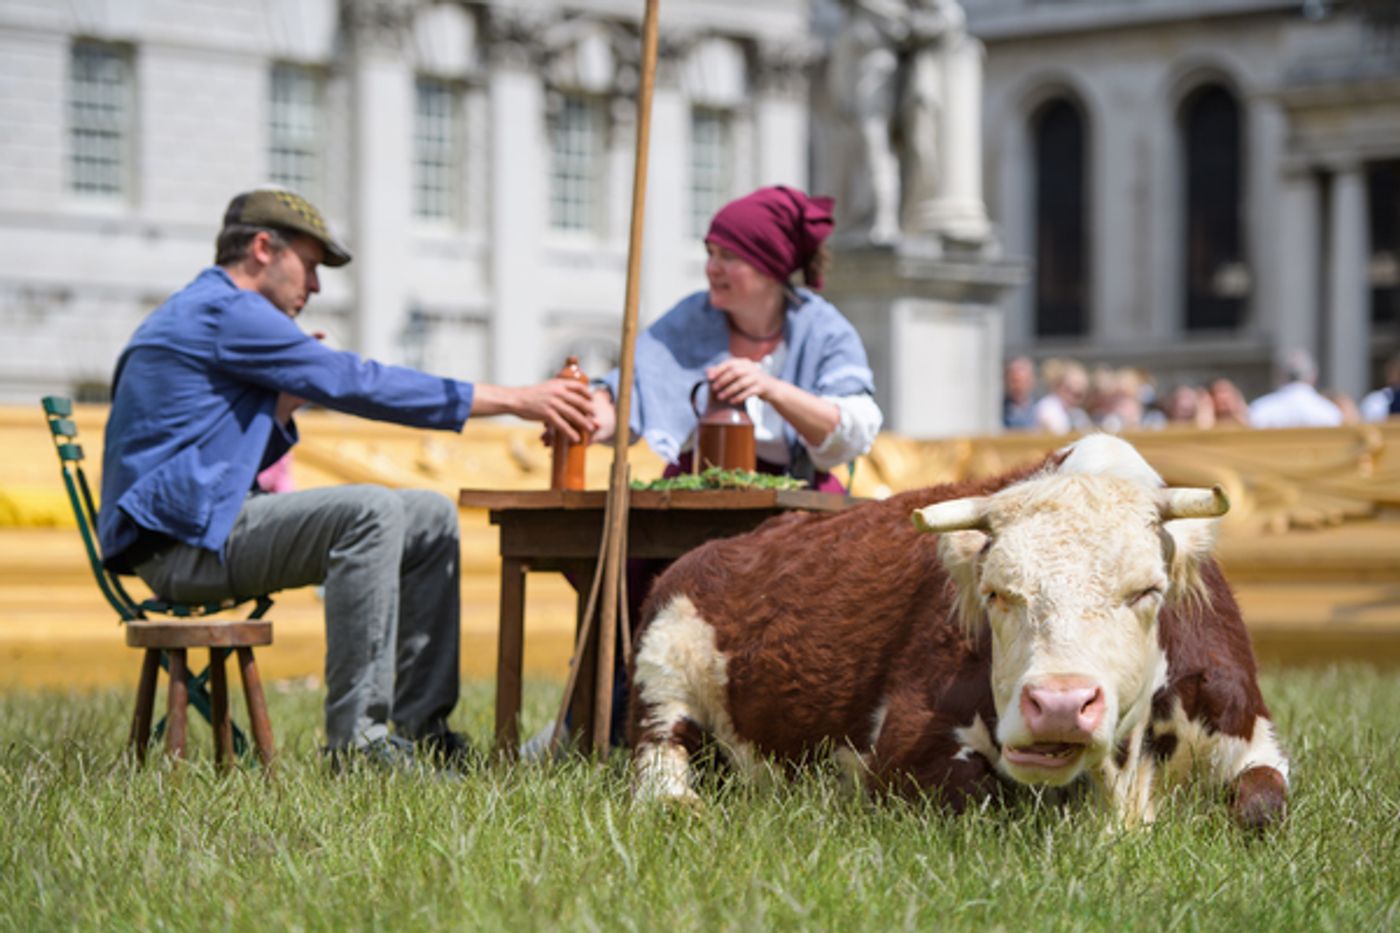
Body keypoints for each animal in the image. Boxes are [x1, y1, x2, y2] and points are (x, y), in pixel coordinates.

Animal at [626, 434, 1289, 829]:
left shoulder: (1253, 737)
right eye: (997, 592)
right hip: (662, 678)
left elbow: (1262, 805)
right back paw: (679, 803)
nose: (1059, 704)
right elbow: (983, 799)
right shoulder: (903, 753)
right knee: (659, 759)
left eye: (1146, 591)